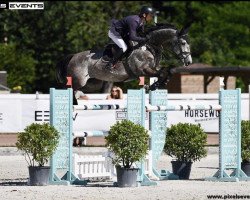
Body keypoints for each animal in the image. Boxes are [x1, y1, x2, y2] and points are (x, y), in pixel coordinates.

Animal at [55, 23, 191, 104]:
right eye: (183, 43)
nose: (189, 62)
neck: (147, 46)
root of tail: (73, 56)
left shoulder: (152, 69)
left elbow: (168, 70)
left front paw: (156, 85)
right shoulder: (143, 70)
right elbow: (162, 72)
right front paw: (152, 86)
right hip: (79, 80)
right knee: (70, 89)